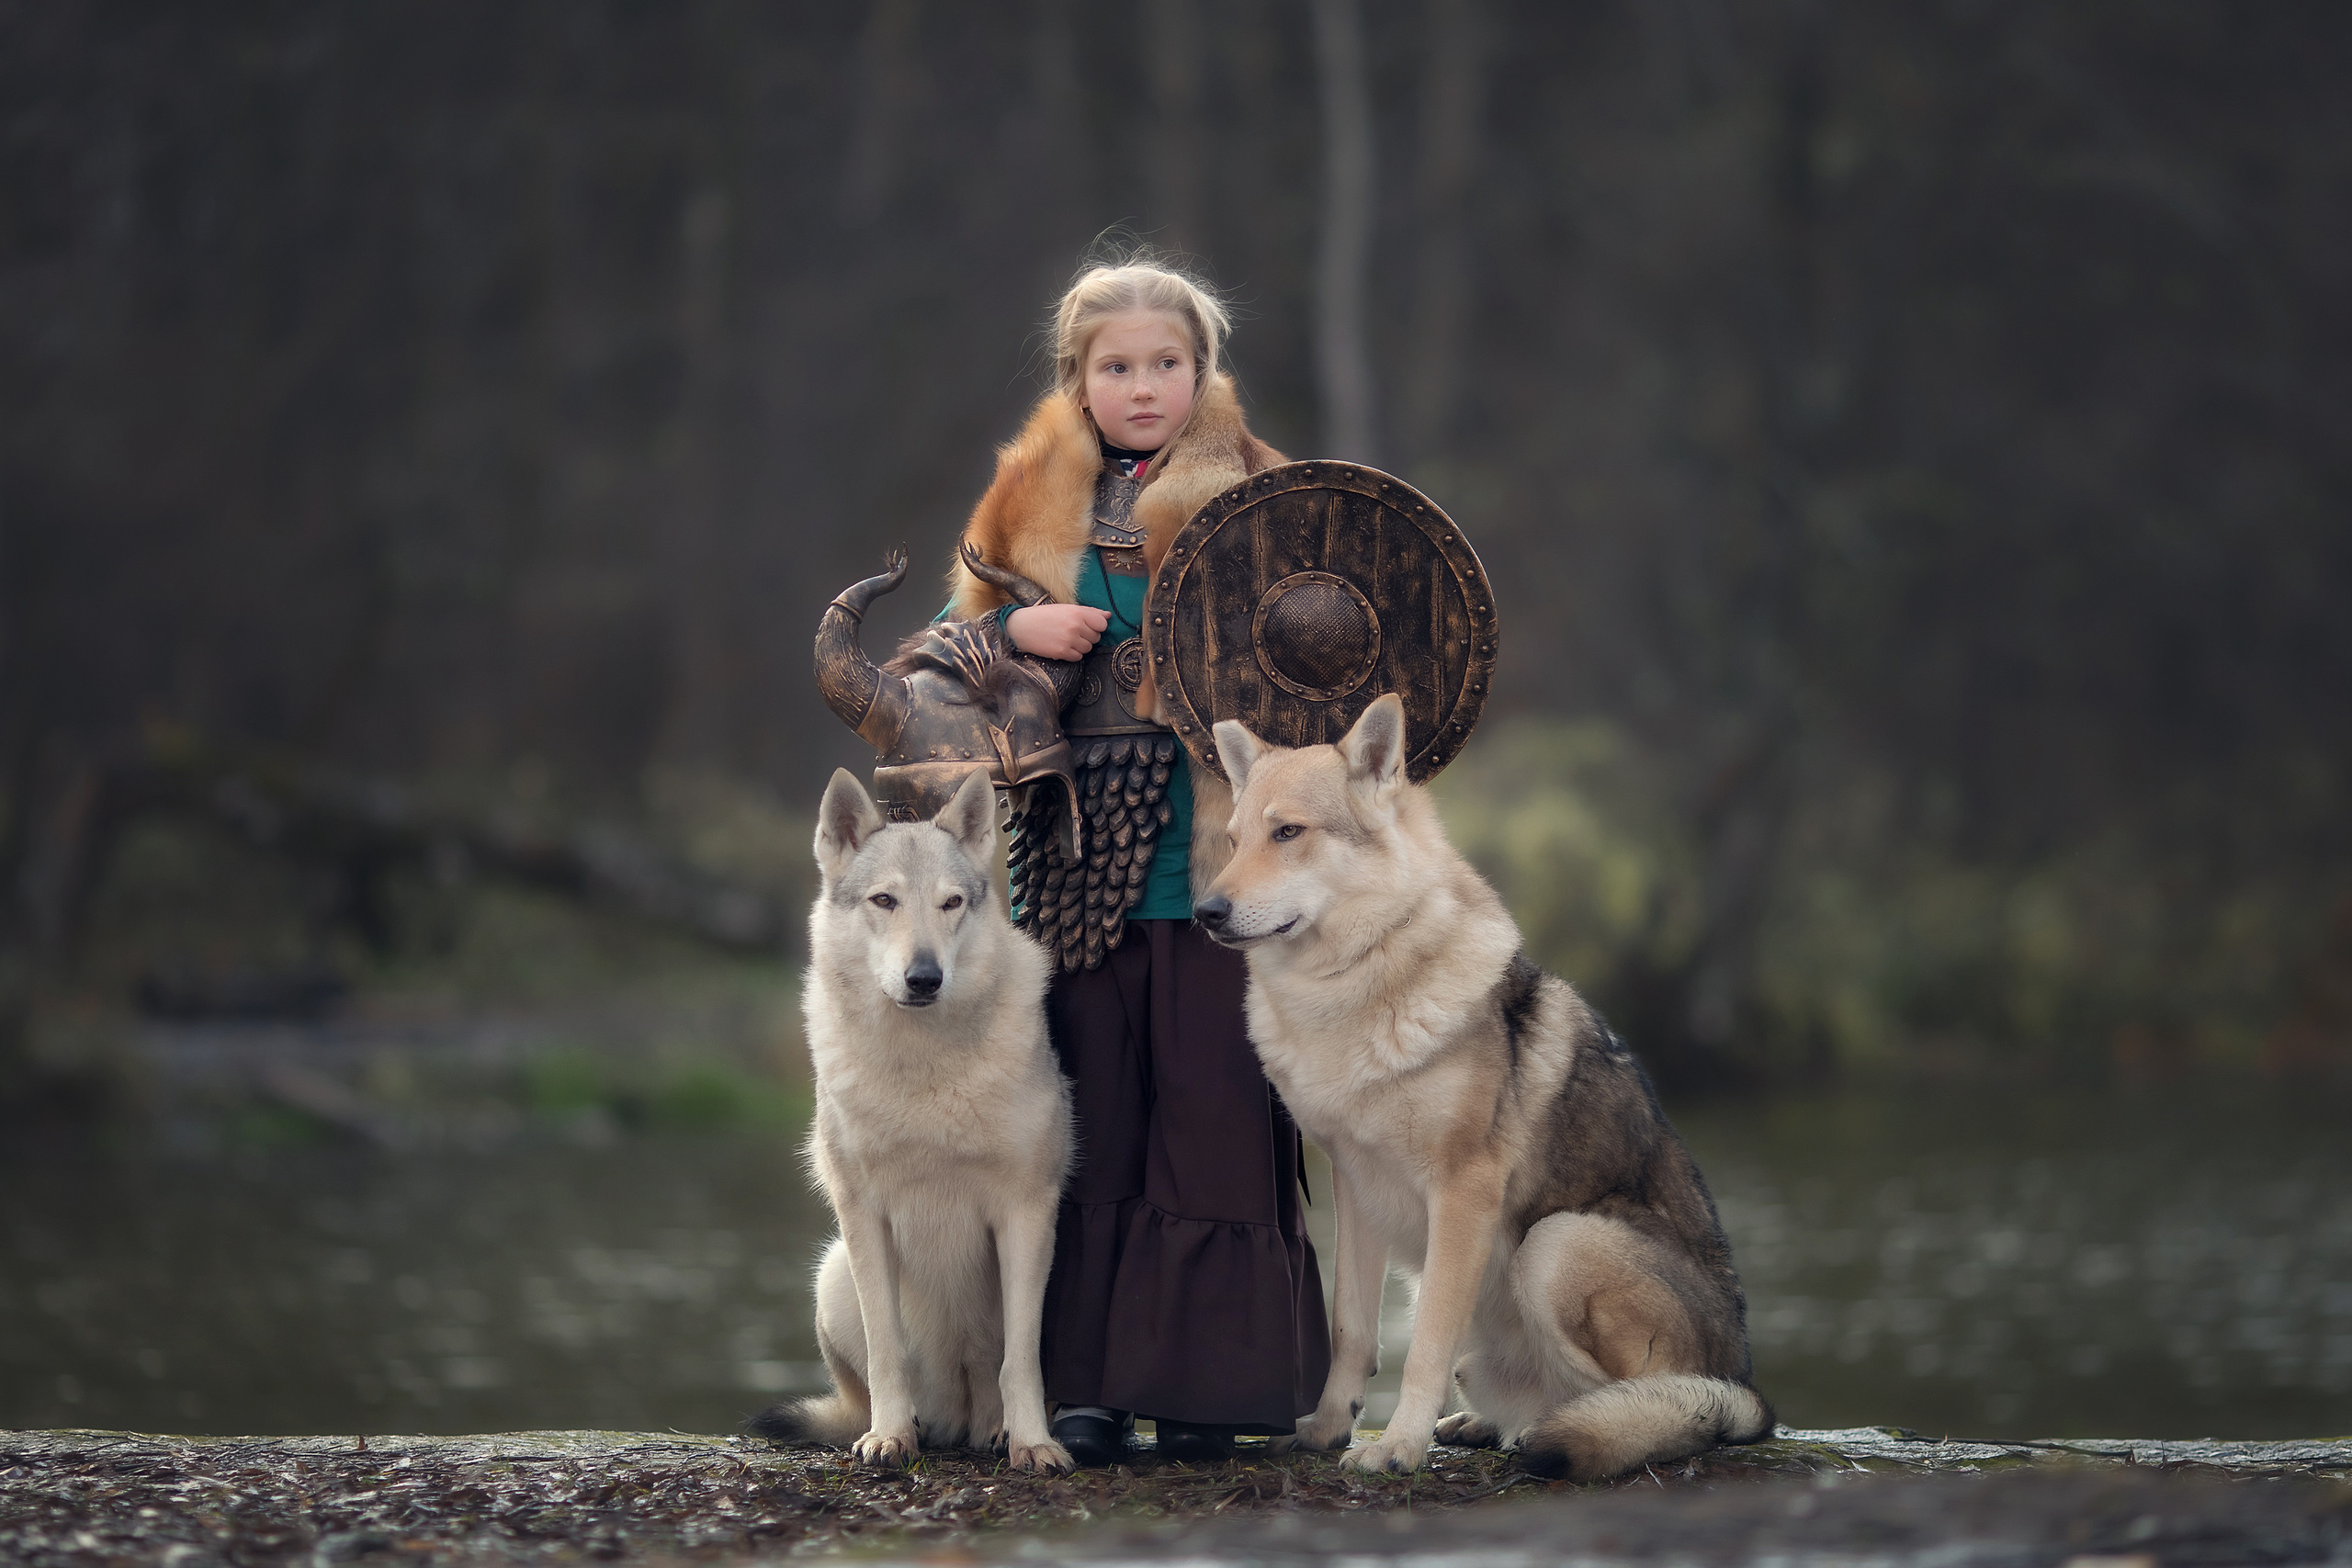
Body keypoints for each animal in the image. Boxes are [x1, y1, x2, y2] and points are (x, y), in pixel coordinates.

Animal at [748, 768, 1075, 1474]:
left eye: (951, 903)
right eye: (885, 900)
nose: (924, 977)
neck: (924, 1065)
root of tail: (960, 1418)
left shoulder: (1026, 1211)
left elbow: (1021, 1359)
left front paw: (1034, 1444)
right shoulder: (863, 1213)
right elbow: (886, 1349)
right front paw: (891, 1437)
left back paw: (999, 1432)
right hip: (831, 1273)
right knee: (864, 1392)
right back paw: (912, 1426)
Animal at [1193, 695, 1772, 1481]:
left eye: (1288, 832)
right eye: (1233, 839)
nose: (1205, 912)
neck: (1352, 988)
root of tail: (1745, 1385)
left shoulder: (1462, 1191)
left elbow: (1425, 1344)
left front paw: (1398, 1445)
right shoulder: (1356, 1186)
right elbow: (1352, 1331)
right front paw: (1326, 1429)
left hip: (1554, 1245)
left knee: (1644, 1400)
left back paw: (1549, 1429)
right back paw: (1484, 1424)